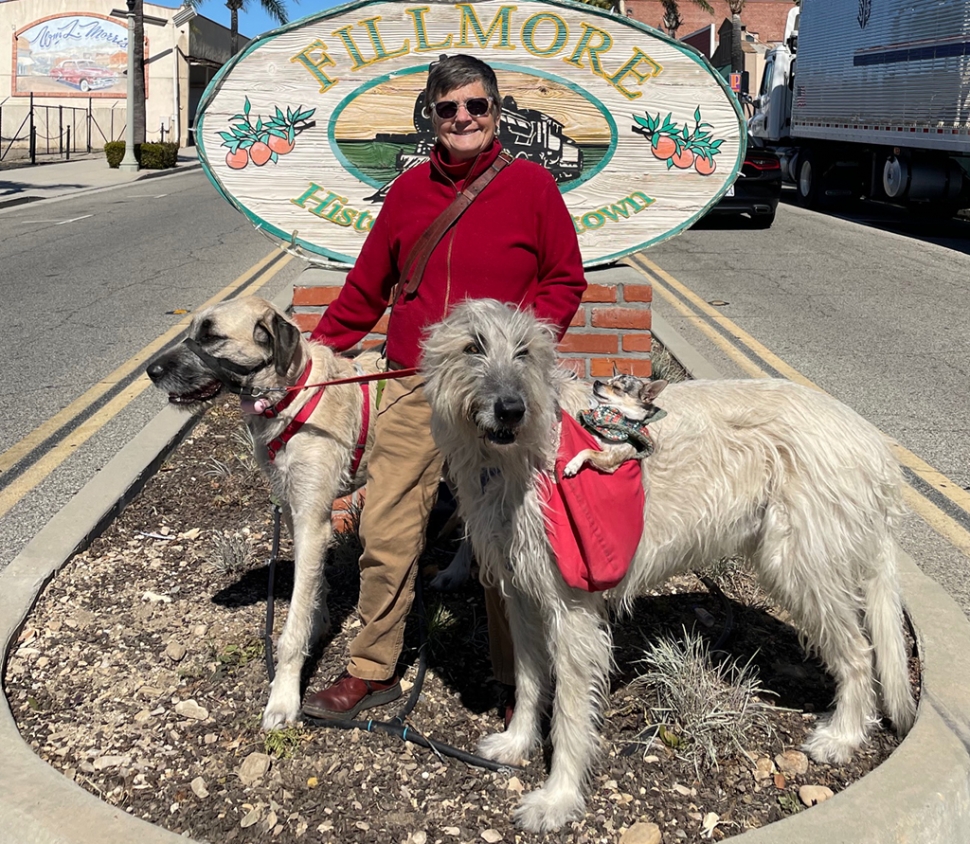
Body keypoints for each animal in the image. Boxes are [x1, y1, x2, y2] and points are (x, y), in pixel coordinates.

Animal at [146, 294, 380, 728]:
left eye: (211, 337)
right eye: (192, 331)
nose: (150, 371)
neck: (293, 396)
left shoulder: (313, 520)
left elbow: (290, 631)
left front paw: (283, 698)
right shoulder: (292, 509)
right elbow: (311, 588)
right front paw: (318, 623)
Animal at [422, 300, 916, 836]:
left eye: (524, 351)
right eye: (473, 347)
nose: (511, 408)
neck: (523, 452)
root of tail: (876, 447)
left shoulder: (572, 607)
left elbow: (571, 710)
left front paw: (558, 798)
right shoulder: (523, 595)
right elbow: (531, 680)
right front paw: (516, 743)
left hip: (800, 564)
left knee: (859, 652)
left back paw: (843, 735)